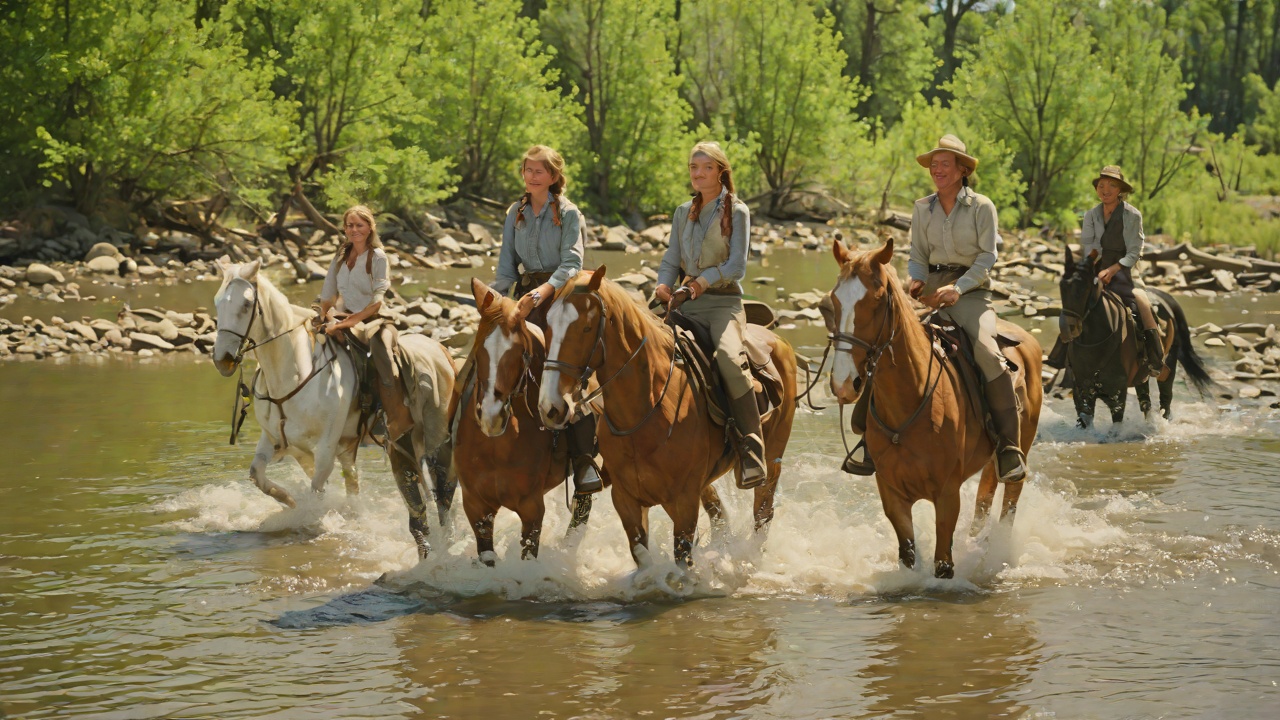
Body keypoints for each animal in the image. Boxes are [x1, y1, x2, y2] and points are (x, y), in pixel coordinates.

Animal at [537, 267, 798, 569]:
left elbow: (682, 558)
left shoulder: (683, 501)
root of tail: (779, 341)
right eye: (547, 326)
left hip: (773, 457)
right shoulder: (626, 499)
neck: (648, 409)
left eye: (586, 328)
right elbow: (642, 555)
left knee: (762, 513)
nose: (550, 407)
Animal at [828, 239, 1043, 578]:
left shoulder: (947, 494)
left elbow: (943, 565)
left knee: (1009, 501)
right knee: (985, 497)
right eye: (833, 301)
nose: (843, 383)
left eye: (875, 302)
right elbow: (908, 555)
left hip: (1023, 447)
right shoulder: (892, 494)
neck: (910, 400)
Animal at [1058, 246, 1214, 427]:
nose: (1067, 329)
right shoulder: (1081, 391)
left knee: (1165, 399)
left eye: (1084, 288)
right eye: (1062, 286)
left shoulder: (1117, 392)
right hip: (1142, 374)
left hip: (1168, 365)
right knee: (1145, 401)